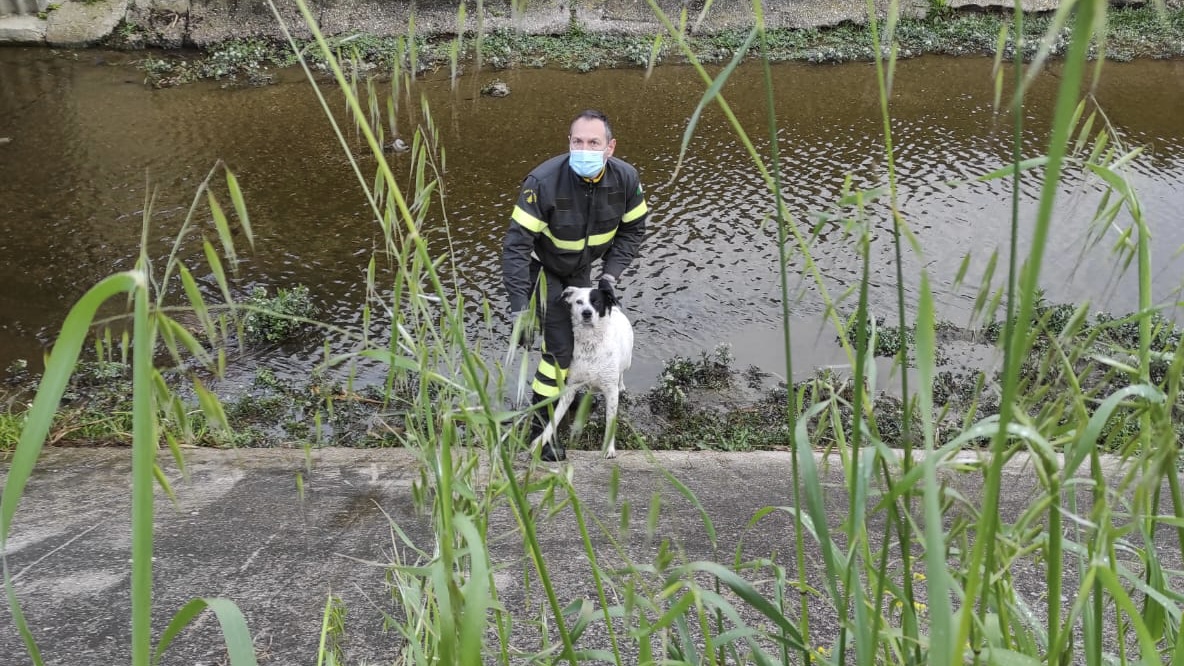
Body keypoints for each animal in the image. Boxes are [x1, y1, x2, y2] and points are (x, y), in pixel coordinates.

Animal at [532, 282, 634, 459]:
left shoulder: (610, 391)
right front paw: (541, 441)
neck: (590, 343)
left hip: (626, 361)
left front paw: (609, 448)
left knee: (621, 373)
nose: (587, 313)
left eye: (596, 302)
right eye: (579, 302)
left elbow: (610, 422)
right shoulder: (569, 389)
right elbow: (555, 417)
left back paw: (621, 385)